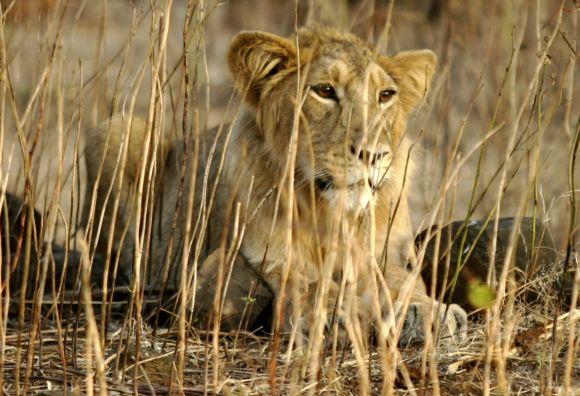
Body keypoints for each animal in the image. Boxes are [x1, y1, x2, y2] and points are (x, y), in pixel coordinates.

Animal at [85, 27, 466, 344]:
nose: (373, 154)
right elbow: (308, 282)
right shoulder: (269, 254)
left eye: (385, 95)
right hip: (117, 129)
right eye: (324, 91)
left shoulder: (386, 249)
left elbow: (401, 279)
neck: (329, 212)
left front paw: (427, 311)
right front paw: (336, 312)